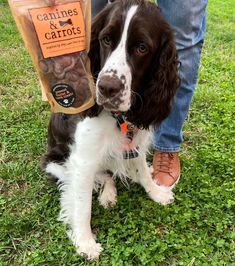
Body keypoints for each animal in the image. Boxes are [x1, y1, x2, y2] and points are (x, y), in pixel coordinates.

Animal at [42, 0, 178, 260]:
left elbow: (142, 171)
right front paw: (85, 242)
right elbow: (82, 204)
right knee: (99, 176)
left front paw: (155, 192)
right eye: (105, 39)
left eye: (142, 48)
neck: (118, 117)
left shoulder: (134, 140)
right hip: (54, 162)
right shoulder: (82, 160)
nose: (107, 88)